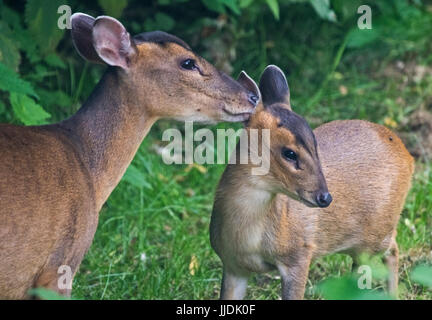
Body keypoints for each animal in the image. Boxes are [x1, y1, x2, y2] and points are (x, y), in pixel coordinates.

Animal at [211, 65, 414, 300]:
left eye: (315, 145)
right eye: (289, 153)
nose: (325, 197)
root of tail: (407, 154)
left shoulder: (299, 253)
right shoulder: (233, 265)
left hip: (376, 233)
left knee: (392, 249)